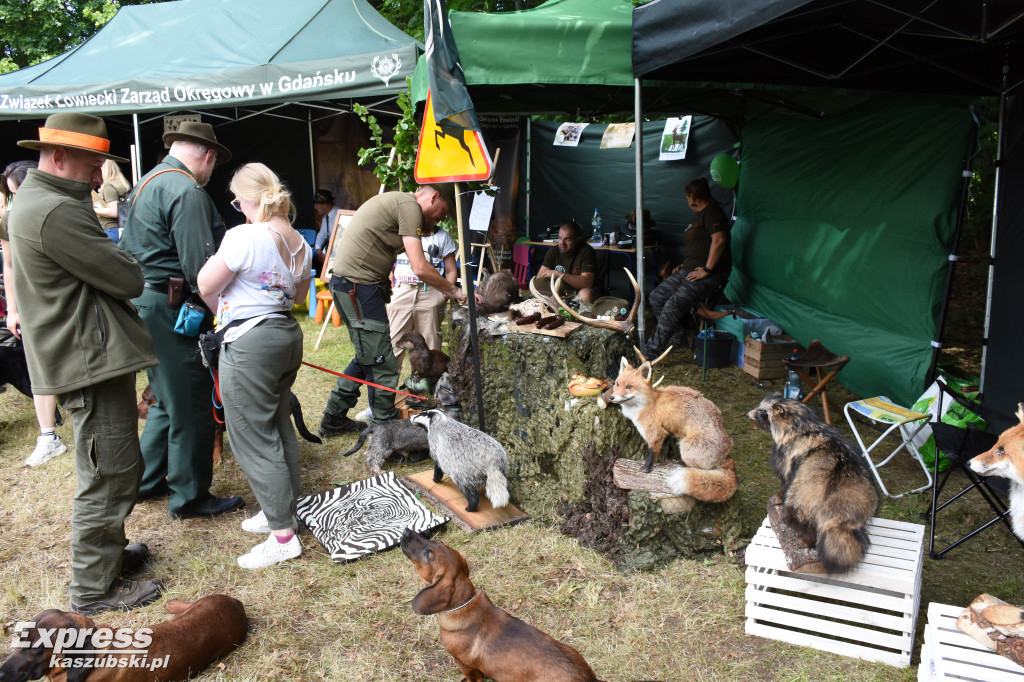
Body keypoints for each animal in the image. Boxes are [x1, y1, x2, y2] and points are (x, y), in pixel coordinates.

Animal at [598, 348, 737, 501]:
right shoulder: (666, 432)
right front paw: (666, 457)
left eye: (629, 387)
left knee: (702, 469)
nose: (611, 397)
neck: (648, 403)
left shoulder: (654, 433)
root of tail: (727, 458)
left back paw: (682, 464)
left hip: (686, 447)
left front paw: (647, 468)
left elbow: (652, 452)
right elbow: (665, 448)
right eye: (617, 384)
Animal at [745, 391, 880, 569]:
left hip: (803, 493)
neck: (804, 423)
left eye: (762, 412)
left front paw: (778, 498)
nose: (747, 414)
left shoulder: (787, 457)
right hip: (863, 500)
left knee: (797, 513)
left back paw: (806, 539)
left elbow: (785, 482)